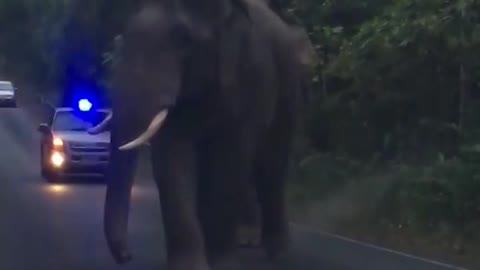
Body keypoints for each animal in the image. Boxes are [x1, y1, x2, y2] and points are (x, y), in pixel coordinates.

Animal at [87, 1, 312, 268]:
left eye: (183, 40)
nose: (127, 256)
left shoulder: (248, 76)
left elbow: (231, 159)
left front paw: (224, 264)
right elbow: (172, 160)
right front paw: (191, 265)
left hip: (289, 89)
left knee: (271, 164)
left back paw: (278, 253)